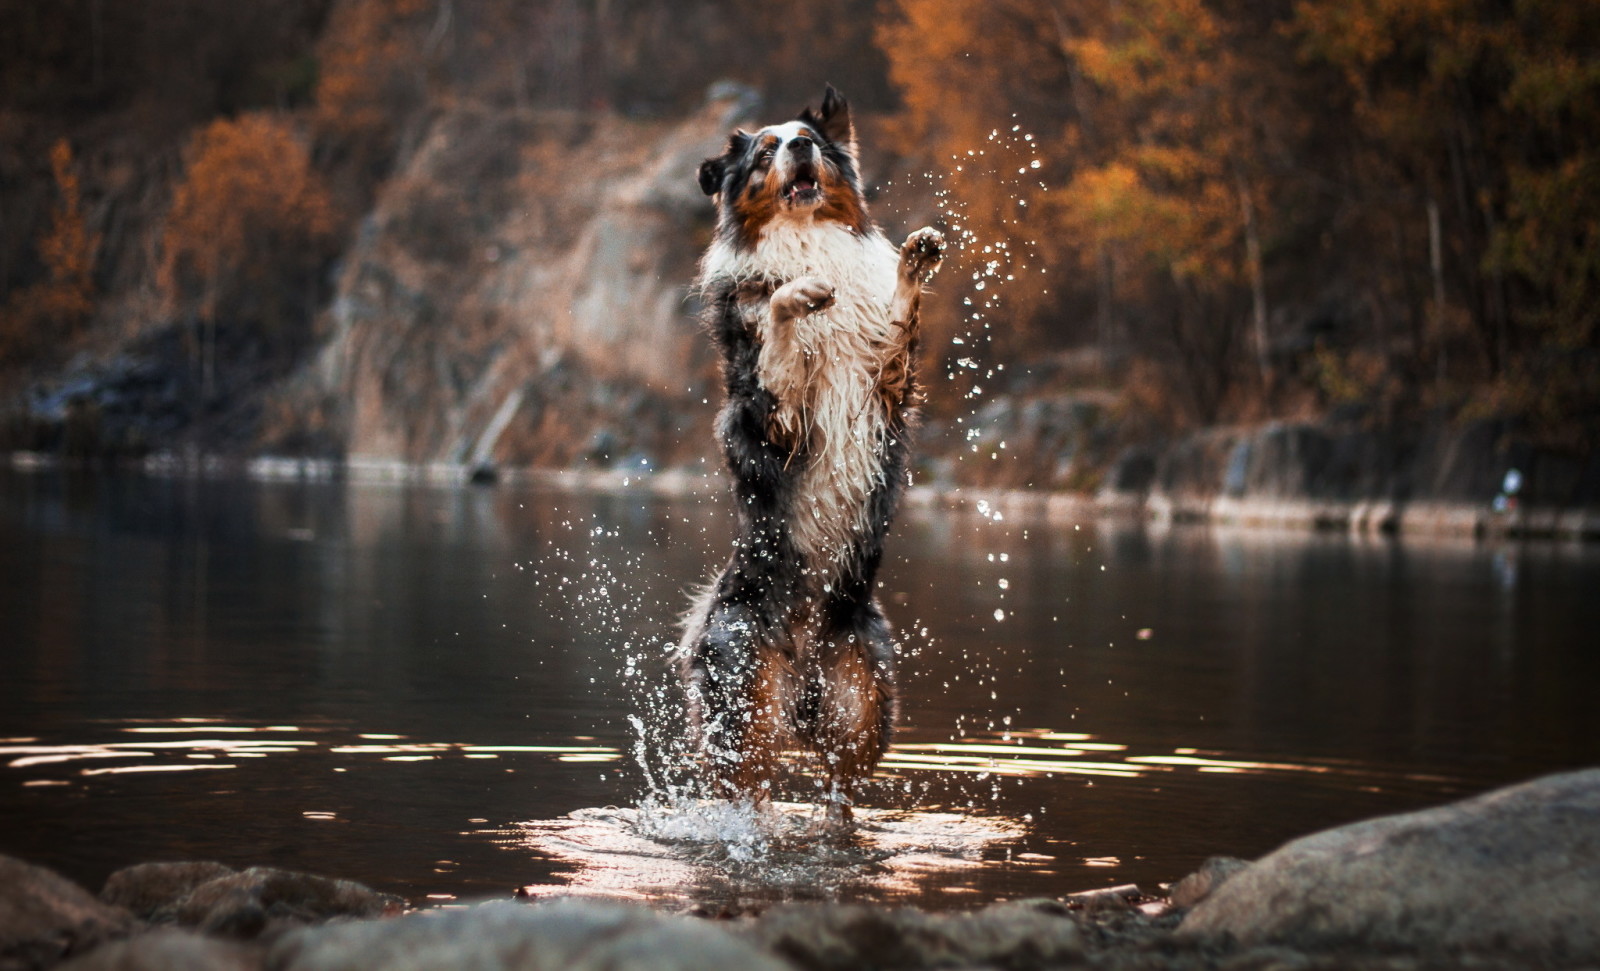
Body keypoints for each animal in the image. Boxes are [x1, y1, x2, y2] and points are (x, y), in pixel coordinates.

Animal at [678, 85, 947, 819]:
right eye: (766, 150)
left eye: (813, 142)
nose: (797, 146)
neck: (807, 238)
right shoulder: (777, 420)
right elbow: (775, 325)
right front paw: (793, 292)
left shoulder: (885, 387)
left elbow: (897, 325)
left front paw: (912, 263)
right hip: (745, 699)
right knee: (747, 793)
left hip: (861, 701)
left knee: (838, 792)